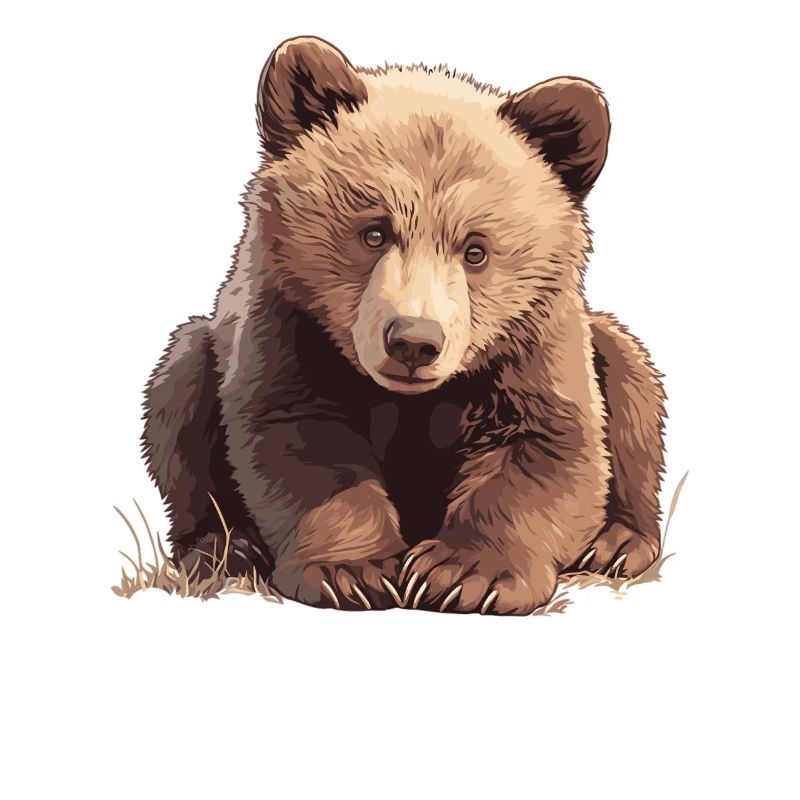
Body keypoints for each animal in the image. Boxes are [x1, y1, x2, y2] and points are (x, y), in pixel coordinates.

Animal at [142, 36, 666, 614]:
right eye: (374, 232)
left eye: (476, 249)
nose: (414, 341)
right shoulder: (289, 325)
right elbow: (300, 437)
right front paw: (353, 570)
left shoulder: (530, 339)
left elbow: (548, 442)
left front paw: (466, 572)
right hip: (198, 356)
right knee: (177, 392)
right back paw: (225, 548)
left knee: (632, 380)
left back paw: (617, 544)